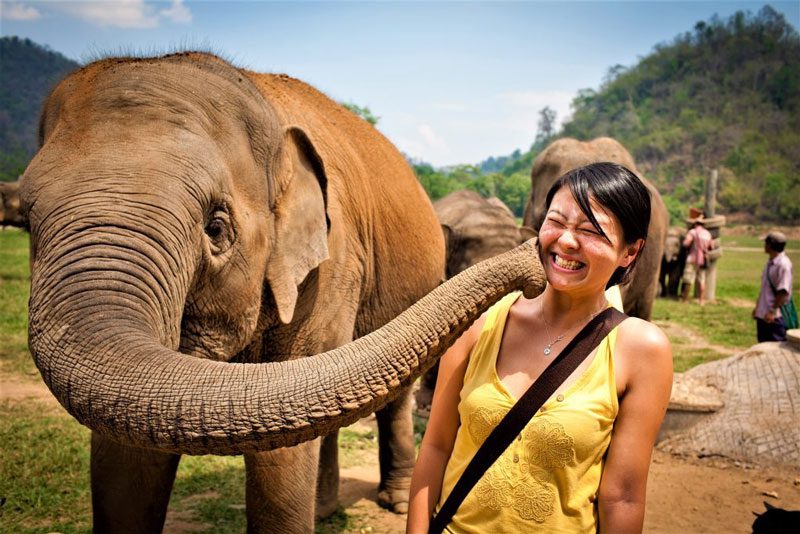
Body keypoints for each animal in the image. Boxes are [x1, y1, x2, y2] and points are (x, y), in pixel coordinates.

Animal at [16, 51, 475, 533]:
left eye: (216, 228)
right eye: (26, 221)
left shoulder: (333, 266)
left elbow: (287, 428)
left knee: (392, 399)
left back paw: (397, 503)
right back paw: (324, 510)